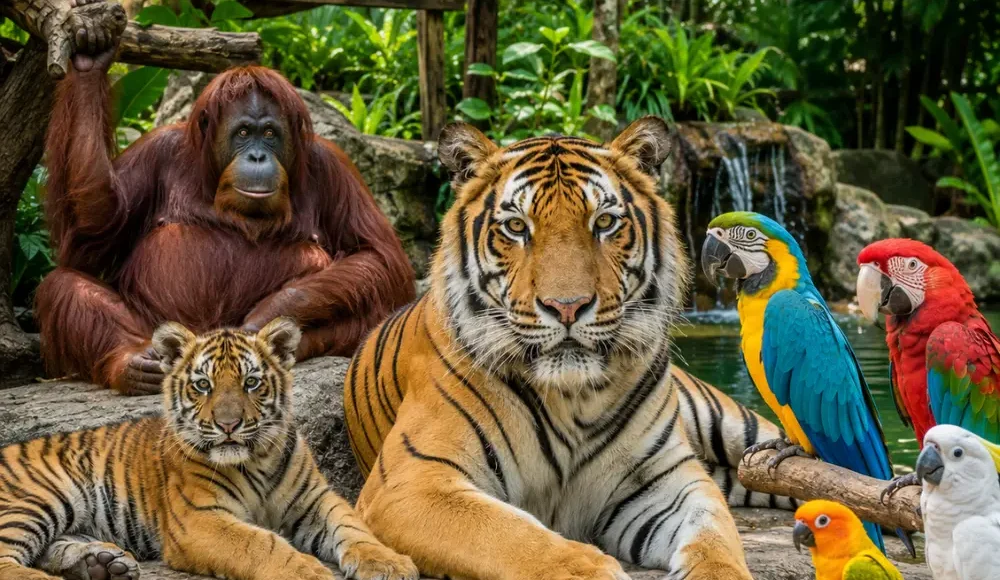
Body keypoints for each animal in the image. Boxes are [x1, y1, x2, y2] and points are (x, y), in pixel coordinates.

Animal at [0, 318, 417, 580]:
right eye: (203, 385)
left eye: (251, 383)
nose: (228, 425)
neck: (258, 460)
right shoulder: (200, 519)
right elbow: (259, 543)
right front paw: (307, 571)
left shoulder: (316, 500)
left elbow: (354, 526)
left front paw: (389, 563)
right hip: (39, 496)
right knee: (8, 560)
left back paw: (104, 563)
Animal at [343, 117, 794, 580]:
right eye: (517, 227)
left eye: (605, 222)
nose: (567, 307)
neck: (573, 397)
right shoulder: (411, 481)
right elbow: (512, 536)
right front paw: (590, 568)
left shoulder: (667, 481)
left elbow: (713, 535)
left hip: (737, 426)